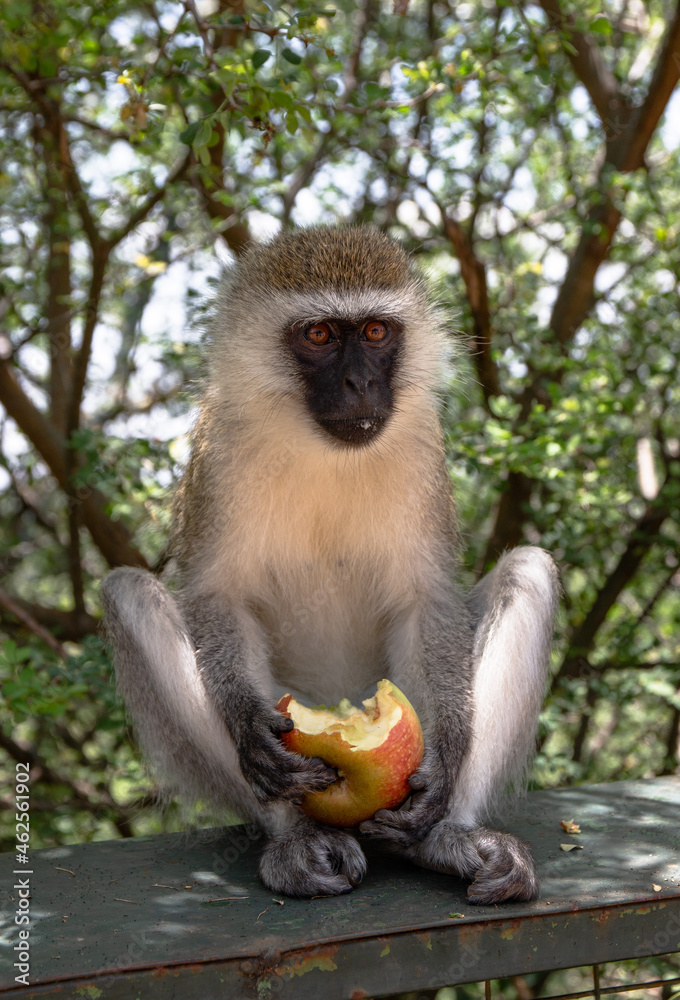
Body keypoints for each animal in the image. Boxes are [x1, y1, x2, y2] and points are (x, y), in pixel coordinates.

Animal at [101, 225, 558, 904]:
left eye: (374, 331)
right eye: (318, 335)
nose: (360, 386)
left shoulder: (422, 442)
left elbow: (427, 599)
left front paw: (449, 752)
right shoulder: (221, 448)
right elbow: (216, 596)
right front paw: (246, 721)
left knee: (530, 568)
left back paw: (443, 838)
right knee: (127, 592)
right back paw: (298, 839)